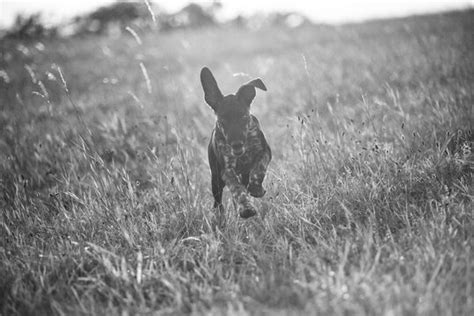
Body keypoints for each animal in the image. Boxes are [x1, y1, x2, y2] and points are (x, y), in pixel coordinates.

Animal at [200, 67, 272, 218]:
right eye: (222, 121)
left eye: (243, 117)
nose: (236, 144)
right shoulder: (226, 170)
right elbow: (237, 188)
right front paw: (246, 208)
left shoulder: (265, 152)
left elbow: (259, 168)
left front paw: (256, 188)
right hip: (216, 178)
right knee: (218, 201)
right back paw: (220, 215)